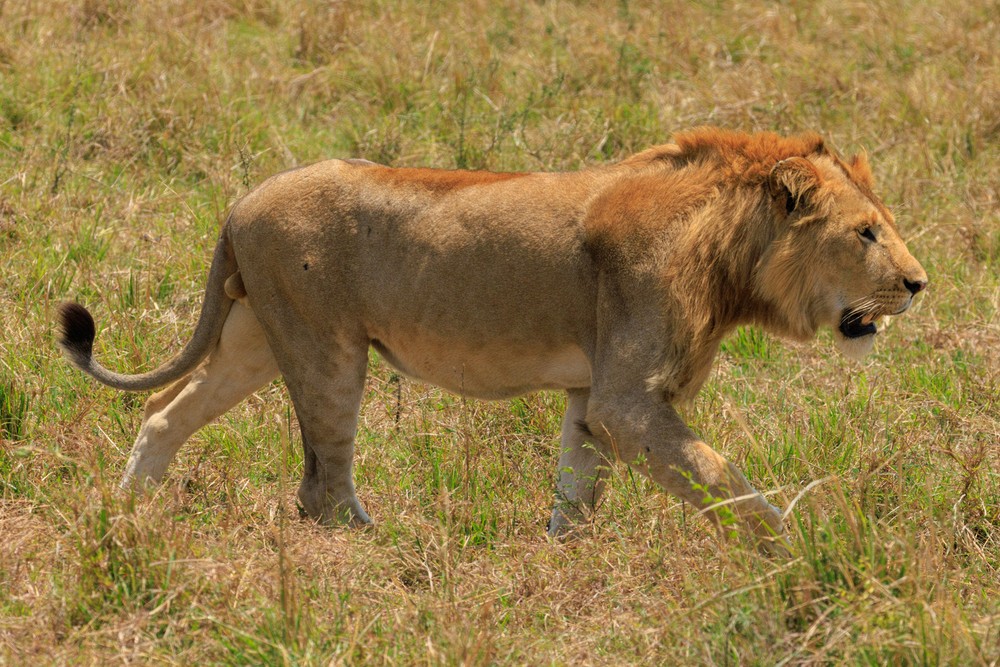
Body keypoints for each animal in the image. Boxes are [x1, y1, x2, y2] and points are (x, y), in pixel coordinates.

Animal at [58, 128, 927, 551]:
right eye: (865, 231)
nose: (920, 284)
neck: (729, 251)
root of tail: (238, 205)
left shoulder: (593, 396)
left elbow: (577, 489)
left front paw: (562, 563)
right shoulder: (628, 399)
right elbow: (729, 481)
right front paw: (808, 556)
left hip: (256, 339)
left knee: (164, 413)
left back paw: (125, 513)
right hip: (326, 351)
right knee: (319, 485)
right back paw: (379, 550)